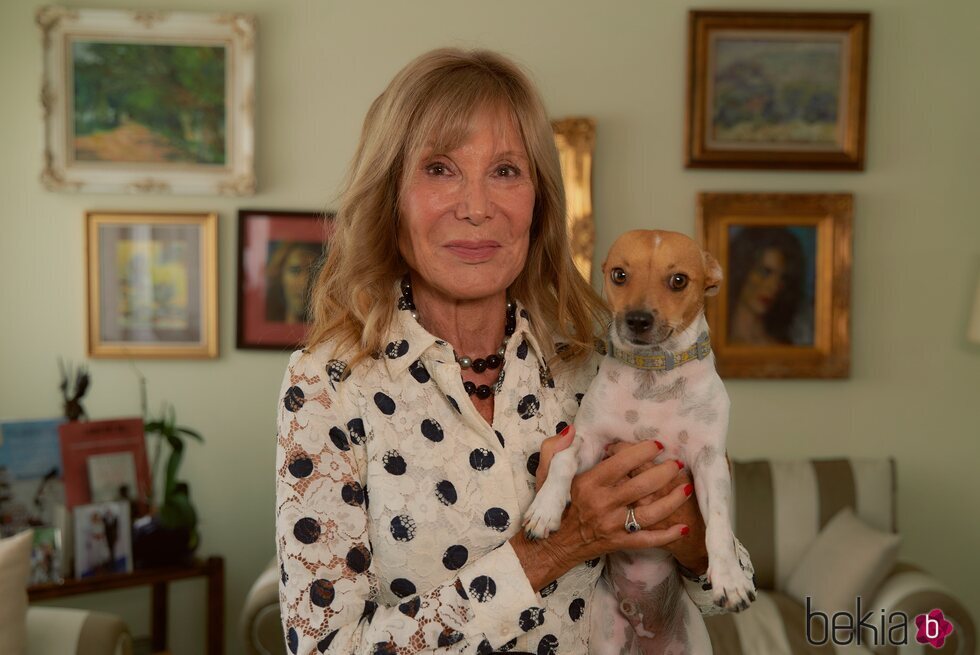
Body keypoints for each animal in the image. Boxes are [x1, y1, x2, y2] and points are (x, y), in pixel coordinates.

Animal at [524, 228, 756, 652]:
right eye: (619, 275)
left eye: (678, 280)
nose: (637, 320)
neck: (653, 376)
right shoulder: (590, 442)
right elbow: (563, 461)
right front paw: (545, 509)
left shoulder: (710, 462)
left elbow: (717, 522)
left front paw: (731, 579)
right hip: (606, 636)